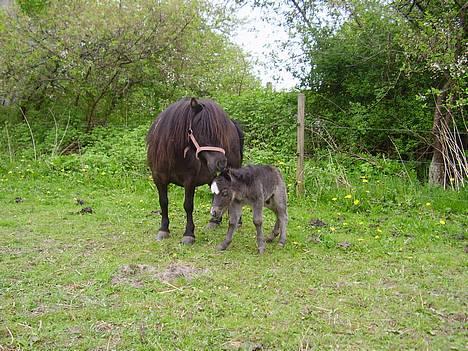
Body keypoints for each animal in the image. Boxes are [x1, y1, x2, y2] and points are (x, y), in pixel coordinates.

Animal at [147, 96, 243, 245]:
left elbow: (188, 205)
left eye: (220, 133)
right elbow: (163, 202)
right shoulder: (158, 178)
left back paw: (237, 222)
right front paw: (163, 230)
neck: (174, 155)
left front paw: (188, 234)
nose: (221, 162)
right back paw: (214, 221)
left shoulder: (189, 181)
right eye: (204, 131)